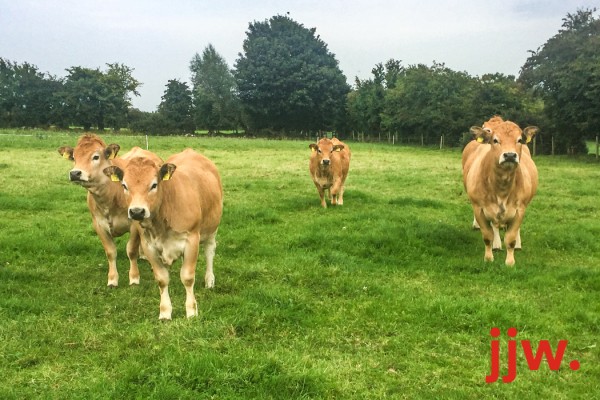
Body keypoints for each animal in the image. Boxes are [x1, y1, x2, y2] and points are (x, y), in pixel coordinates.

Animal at [58, 135, 162, 288]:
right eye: (74, 157)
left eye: (96, 156)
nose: (75, 173)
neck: (110, 196)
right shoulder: (99, 225)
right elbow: (111, 252)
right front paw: (112, 279)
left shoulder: (134, 223)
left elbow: (131, 250)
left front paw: (134, 277)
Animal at [104, 148, 224, 320]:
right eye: (124, 185)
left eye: (154, 185)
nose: (137, 211)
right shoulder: (149, 246)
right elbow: (162, 279)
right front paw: (165, 312)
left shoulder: (192, 241)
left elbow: (188, 277)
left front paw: (191, 311)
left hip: (211, 229)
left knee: (209, 252)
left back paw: (209, 280)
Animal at [462, 116, 540, 266]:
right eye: (495, 140)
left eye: (519, 140)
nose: (509, 155)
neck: (501, 186)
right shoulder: (479, 208)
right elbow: (487, 236)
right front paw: (488, 258)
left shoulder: (519, 209)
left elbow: (510, 238)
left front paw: (510, 262)